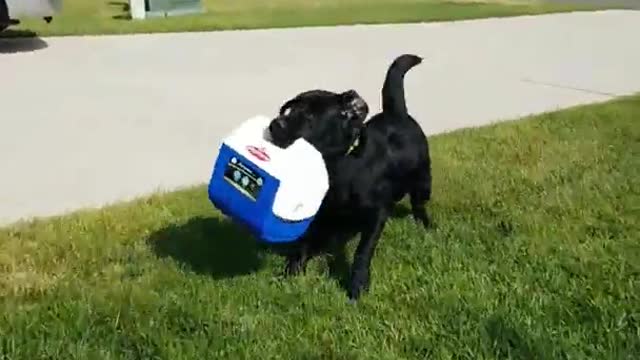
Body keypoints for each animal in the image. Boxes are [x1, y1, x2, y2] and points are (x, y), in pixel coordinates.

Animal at [268, 53, 432, 300]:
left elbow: (362, 251)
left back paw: (426, 225)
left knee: (419, 204)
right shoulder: (318, 216)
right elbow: (303, 243)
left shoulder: (376, 214)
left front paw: (358, 284)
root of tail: (396, 113)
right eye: (287, 110)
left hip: (423, 182)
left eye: (309, 116)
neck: (336, 168)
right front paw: (293, 271)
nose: (274, 124)